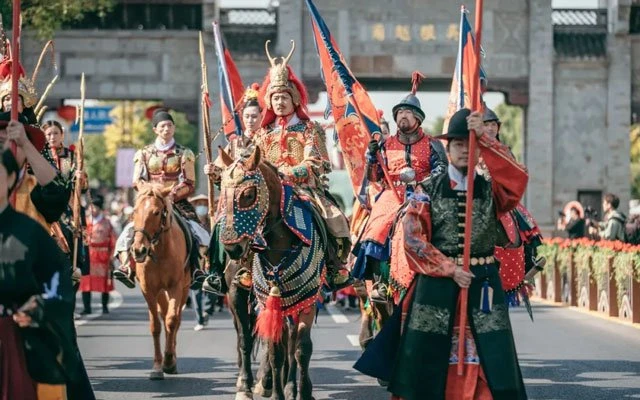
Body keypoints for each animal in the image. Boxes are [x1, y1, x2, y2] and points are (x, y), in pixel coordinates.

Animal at [129, 183, 190, 380]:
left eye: (156, 212)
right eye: (135, 211)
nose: (139, 250)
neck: (159, 250)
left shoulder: (175, 286)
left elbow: (172, 320)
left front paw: (169, 361)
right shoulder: (148, 289)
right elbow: (155, 325)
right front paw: (157, 366)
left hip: (184, 287)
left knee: (175, 319)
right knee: (162, 315)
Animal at [218, 147, 324, 400]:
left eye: (248, 194)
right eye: (222, 194)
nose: (232, 248)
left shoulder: (307, 298)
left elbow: (301, 348)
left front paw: (303, 392)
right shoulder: (253, 297)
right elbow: (265, 346)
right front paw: (255, 388)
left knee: (292, 342)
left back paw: (290, 385)